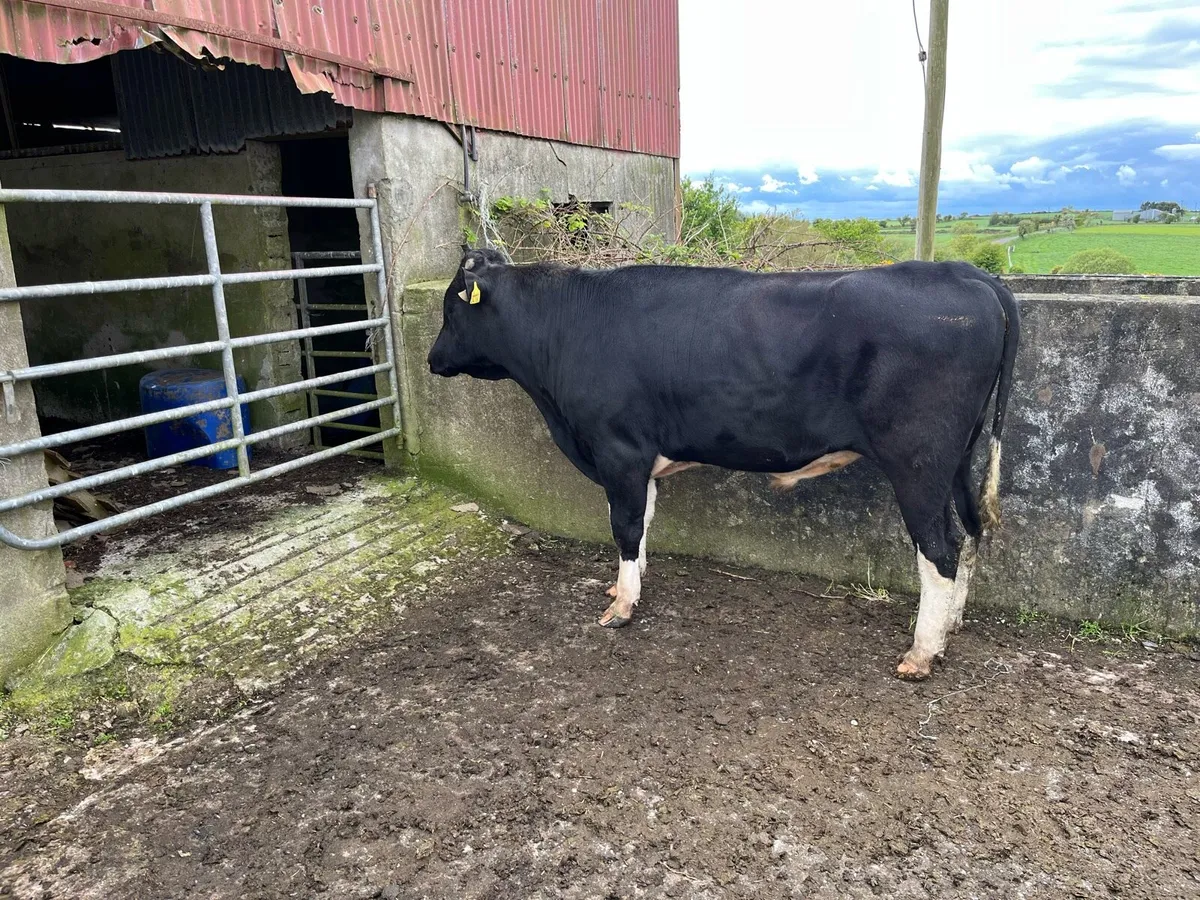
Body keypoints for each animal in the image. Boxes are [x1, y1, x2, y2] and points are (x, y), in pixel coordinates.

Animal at [428, 250, 1020, 679]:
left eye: (451, 309)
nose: (432, 360)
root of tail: (963, 272)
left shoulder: (619, 449)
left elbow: (625, 525)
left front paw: (623, 606)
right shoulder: (641, 458)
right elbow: (644, 519)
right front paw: (628, 584)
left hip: (918, 462)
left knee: (939, 550)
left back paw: (921, 652)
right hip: (957, 458)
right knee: (968, 534)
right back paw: (951, 626)